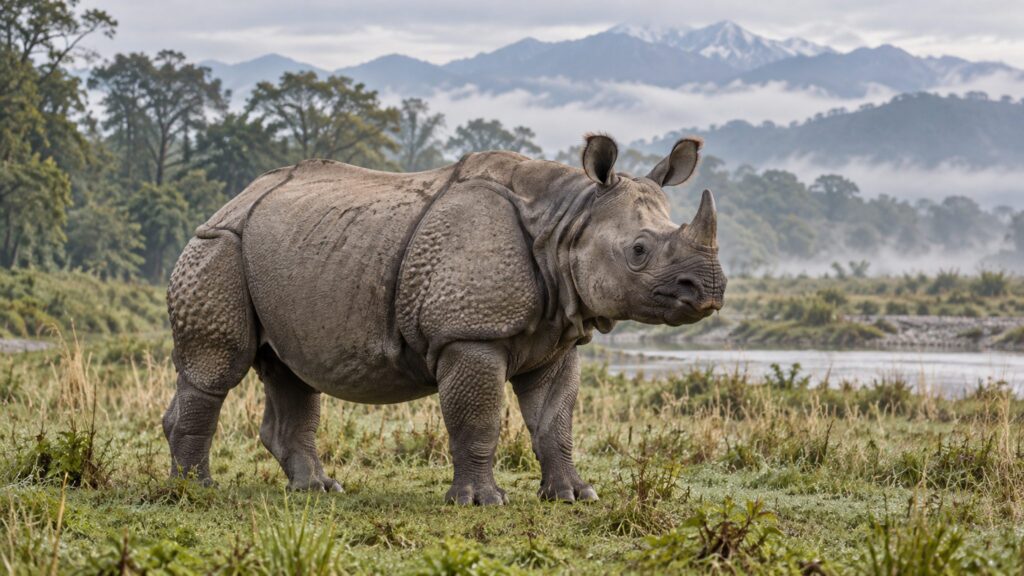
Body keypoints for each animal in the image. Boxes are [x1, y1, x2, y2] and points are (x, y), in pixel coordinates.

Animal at [163, 134, 725, 504]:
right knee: (216, 370)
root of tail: (229, 201)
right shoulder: (468, 334)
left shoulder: (558, 335)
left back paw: (320, 491)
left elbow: (555, 420)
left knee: (292, 371)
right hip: (220, 245)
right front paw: (480, 502)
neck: (568, 222)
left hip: (287, 250)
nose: (710, 290)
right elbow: (477, 418)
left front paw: (573, 496)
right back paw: (198, 492)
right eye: (639, 250)